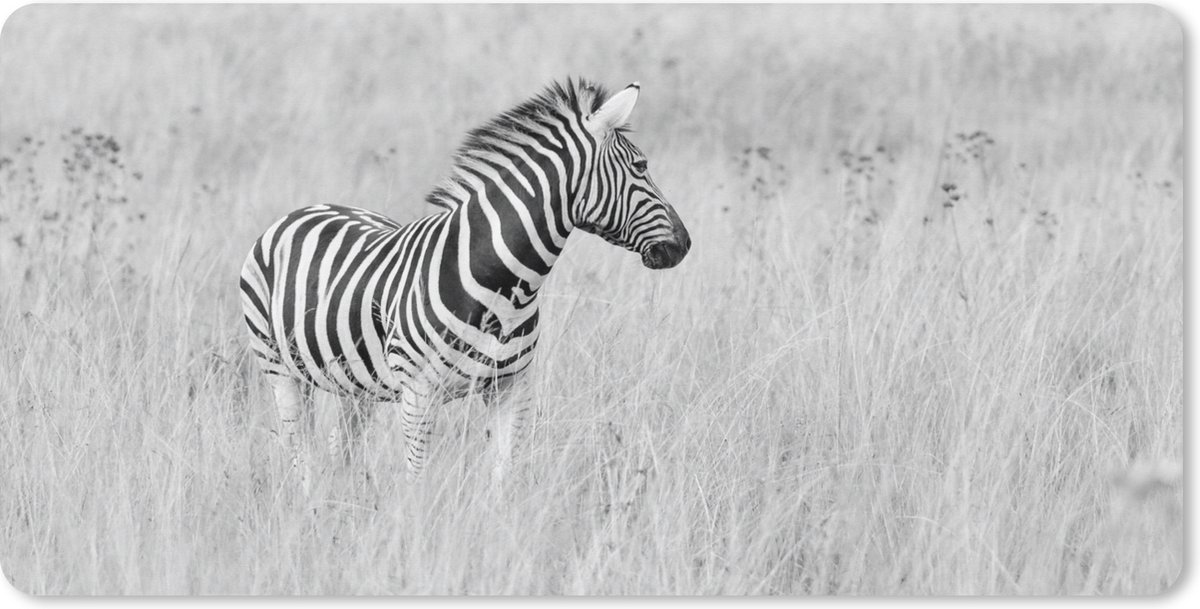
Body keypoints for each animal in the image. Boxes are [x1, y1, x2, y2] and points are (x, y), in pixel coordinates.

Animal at [238, 78, 691, 488]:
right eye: (641, 167)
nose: (684, 244)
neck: (509, 290)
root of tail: (306, 209)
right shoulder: (418, 394)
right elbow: (417, 481)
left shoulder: (513, 388)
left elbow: (504, 479)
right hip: (280, 368)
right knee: (301, 453)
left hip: (356, 384)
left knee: (340, 450)